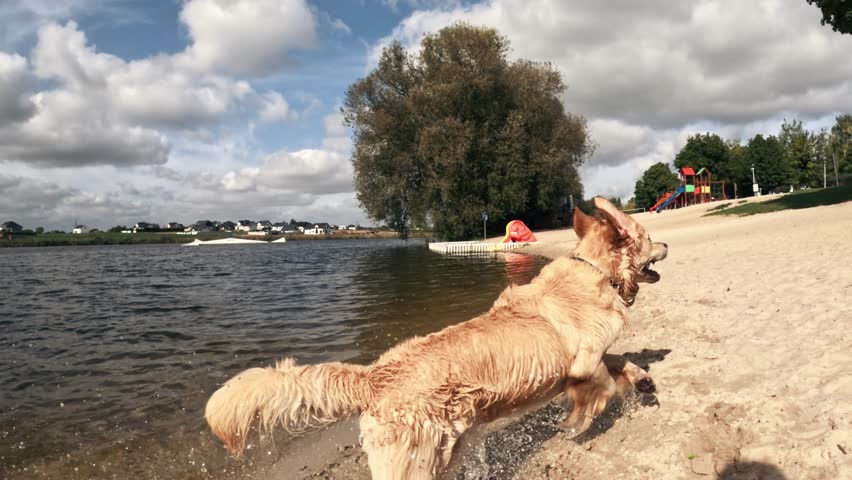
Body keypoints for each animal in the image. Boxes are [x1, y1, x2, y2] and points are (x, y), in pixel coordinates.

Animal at [205, 197, 664, 478]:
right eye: (646, 236)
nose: (665, 243)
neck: (593, 270)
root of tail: (374, 375)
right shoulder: (582, 360)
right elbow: (599, 381)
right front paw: (584, 415)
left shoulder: (592, 355)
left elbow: (616, 362)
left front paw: (640, 378)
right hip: (413, 460)